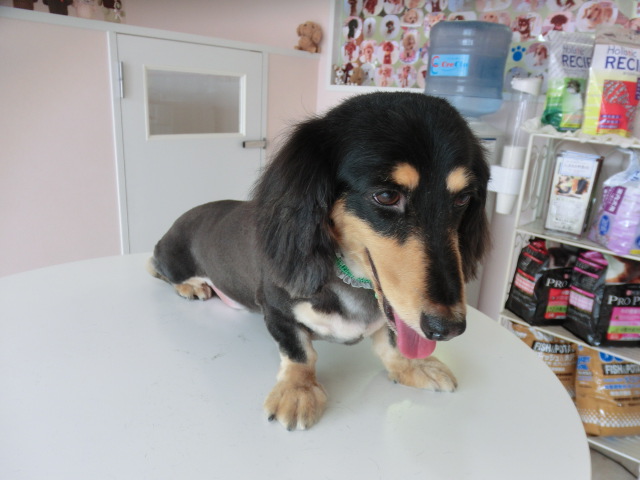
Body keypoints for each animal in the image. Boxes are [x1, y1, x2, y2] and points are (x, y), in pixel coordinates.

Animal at [148, 92, 491, 431]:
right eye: (386, 196)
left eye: (463, 198)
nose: (448, 329)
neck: (352, 281)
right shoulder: (275, 308)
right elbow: (300, 352)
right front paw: (297, 390)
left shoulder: (393, 315)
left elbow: (393, 342)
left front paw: (413, 365)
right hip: (173, 258)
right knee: (156, 267)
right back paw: (190, 286)